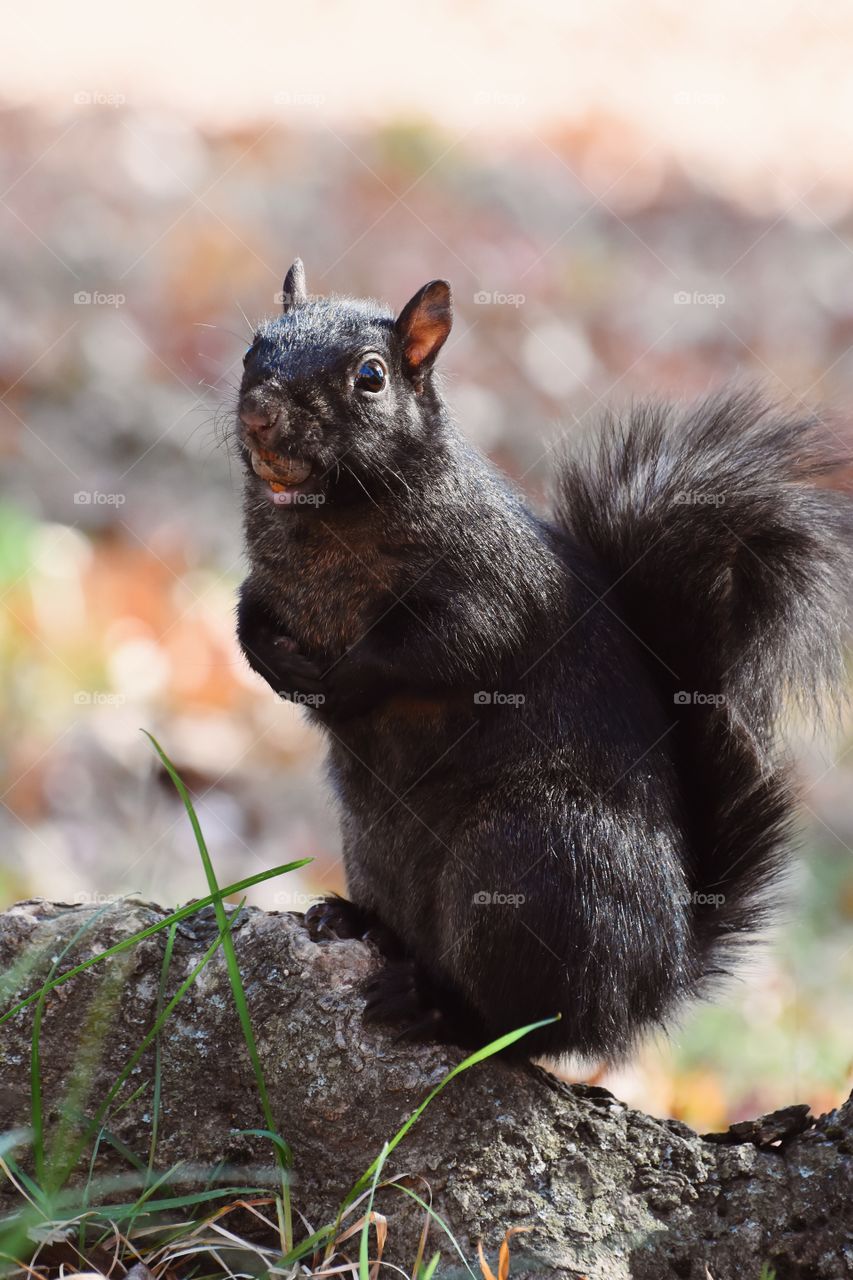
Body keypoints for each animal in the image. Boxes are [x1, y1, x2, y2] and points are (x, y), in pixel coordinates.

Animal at [235, 258, 851, 1061]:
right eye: (253, 346)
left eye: (370, 376)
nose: (259, 412)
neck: (323, 515)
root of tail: (652, 983)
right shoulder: (268, 582)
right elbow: (248, 612)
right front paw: (271, 662)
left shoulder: (492, 586)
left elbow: (447, 646)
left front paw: (343, 680)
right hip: (377, 844)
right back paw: (358, 923)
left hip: (536, 860)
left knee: (529, 1025)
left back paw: (438, 1007)